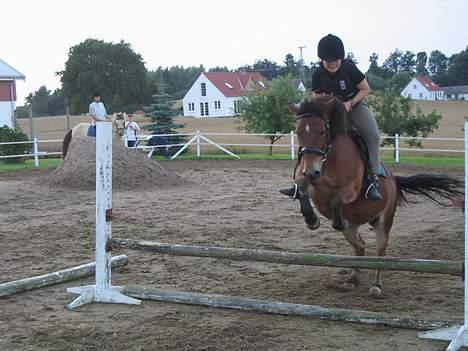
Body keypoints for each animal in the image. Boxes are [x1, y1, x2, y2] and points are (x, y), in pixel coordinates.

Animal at [288, 95, 462, 296]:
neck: (328, 160)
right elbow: (302, 188)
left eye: (322, 131)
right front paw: (311, 220)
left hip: (383, 221)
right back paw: (353, 278)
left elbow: (338, 199)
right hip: (353, 227)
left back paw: (376, 285)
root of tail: (394, 180)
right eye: (299, 132)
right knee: (360, 245)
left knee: (380, 252)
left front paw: (330, 220)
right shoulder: (314, 188)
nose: (311, 171)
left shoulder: (351, 190)